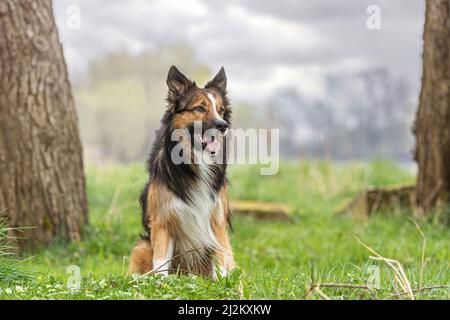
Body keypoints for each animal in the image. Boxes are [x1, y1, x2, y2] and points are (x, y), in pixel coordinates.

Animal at [128, 65, 236, 278]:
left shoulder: (217, 220)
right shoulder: (162, 220)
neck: (195, 160)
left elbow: (220, 258)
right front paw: (160, 282)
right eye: (200, 108)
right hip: (142, 245)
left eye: (221, 111)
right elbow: (161, 263)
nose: (223, 126)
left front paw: (223, 281)